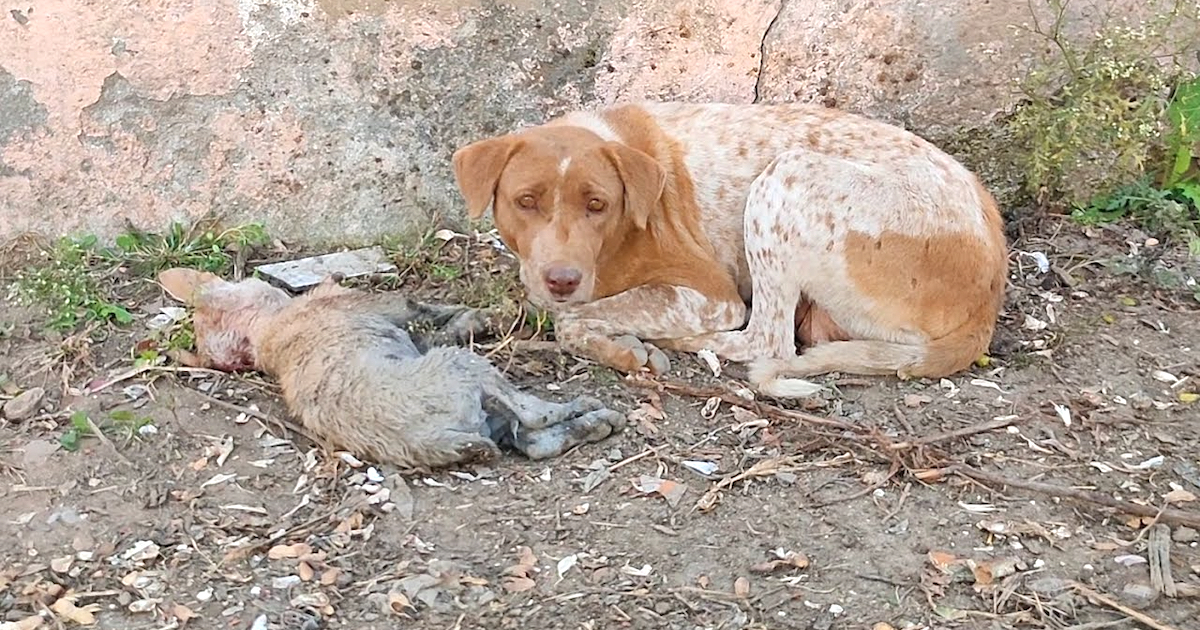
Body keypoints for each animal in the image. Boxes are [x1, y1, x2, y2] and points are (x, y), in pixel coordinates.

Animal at [451, 103, 1003, 398]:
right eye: (526, 201)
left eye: (596, 204)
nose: (562, 278)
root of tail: (989, 295)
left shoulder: (709, 295)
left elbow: (575, 319)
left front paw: (621, 346)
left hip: (784, 180)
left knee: (768, 340)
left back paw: (680, 343)